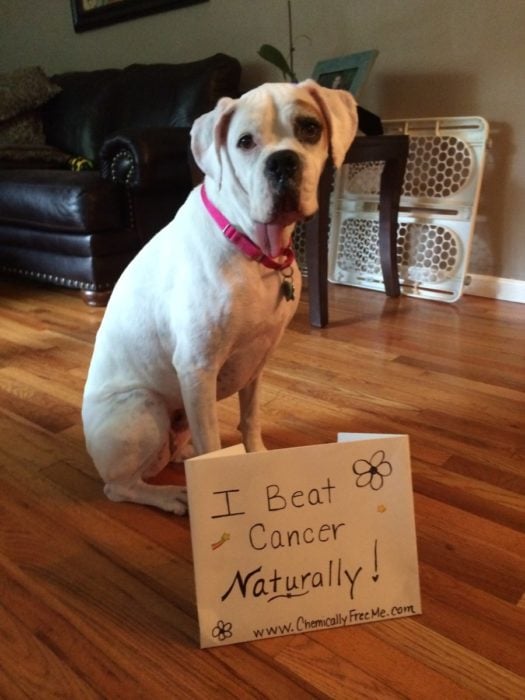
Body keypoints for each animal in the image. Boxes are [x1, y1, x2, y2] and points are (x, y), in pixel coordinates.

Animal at [81, 79, 356, 516]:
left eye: (310, 128)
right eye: (245, 142)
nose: (282, 162)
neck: (252, 246)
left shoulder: (257, 362)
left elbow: (250, 419)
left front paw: (256, 455)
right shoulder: (197, 369)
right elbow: (211, 440)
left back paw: (182, 455)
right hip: (142, 408)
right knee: (121, 486)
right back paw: (170, 495)